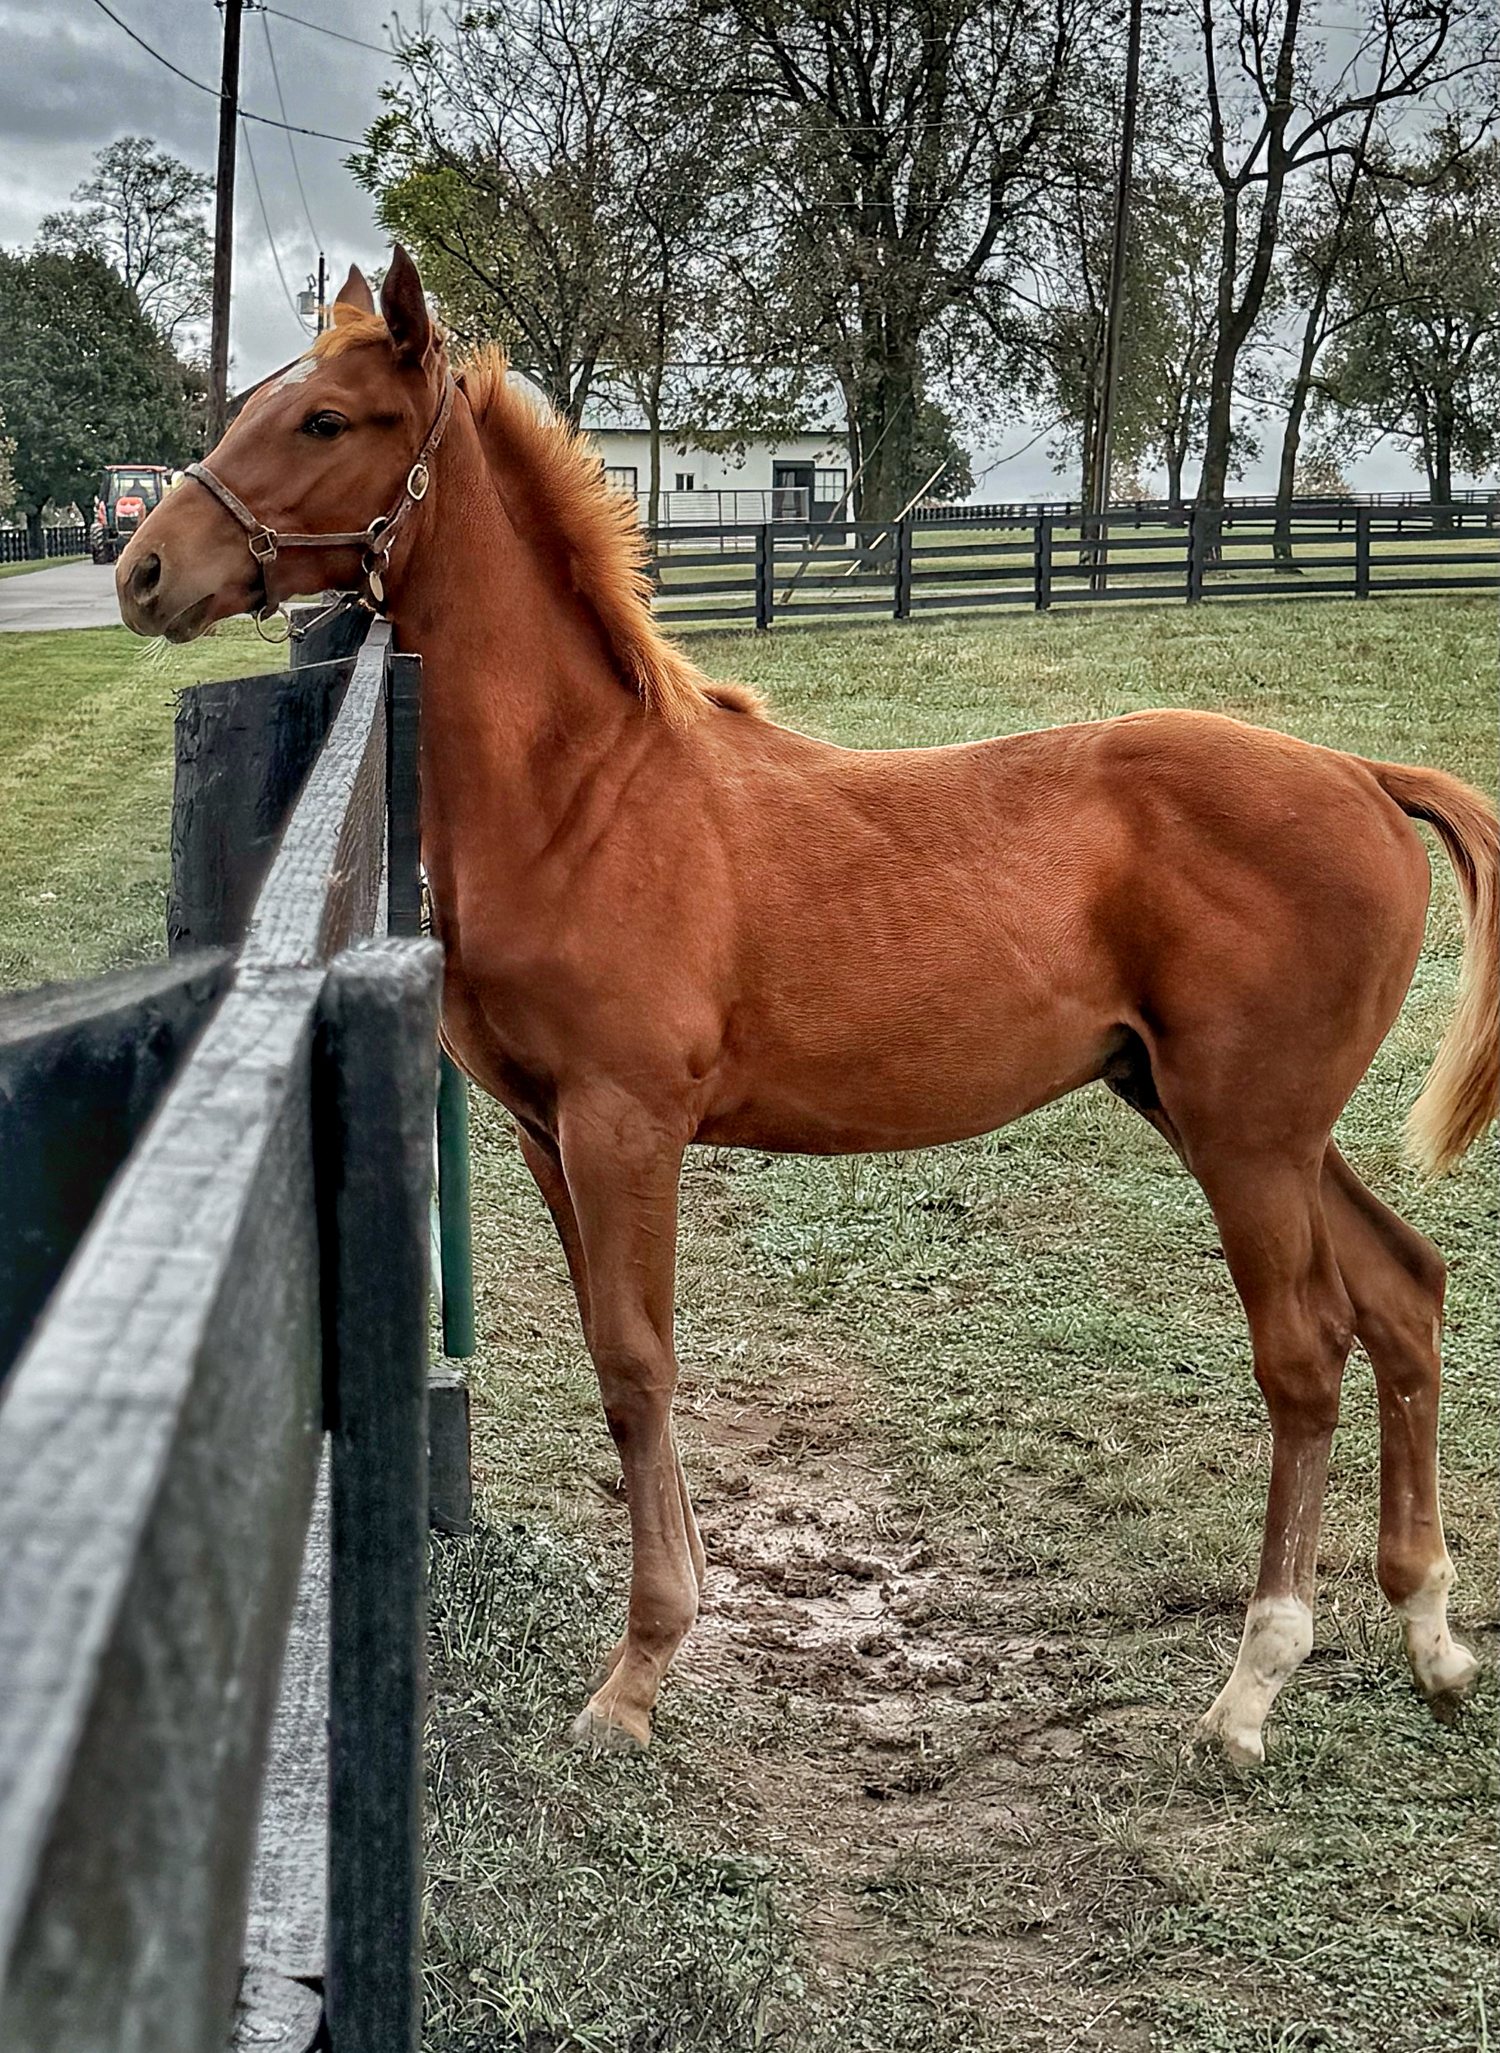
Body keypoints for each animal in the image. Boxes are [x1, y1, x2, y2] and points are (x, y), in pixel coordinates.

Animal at [116, 248, 1496, 1766]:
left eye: (326, 419)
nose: (141, 569)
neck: (586, 797)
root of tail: (1366, 776)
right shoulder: (544, 1134)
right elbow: (621, 1363)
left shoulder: (625, 1126)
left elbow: (637, 1363)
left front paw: (639, 1669)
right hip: (1236, 1119)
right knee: (1405, 1294)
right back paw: (1432, 1636)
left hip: (1247, 1135)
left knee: (1307, 1356)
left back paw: (1252, 1683)